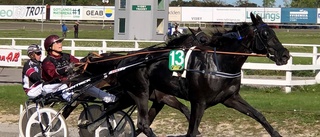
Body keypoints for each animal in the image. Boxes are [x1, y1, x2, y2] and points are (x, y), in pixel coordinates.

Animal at [114, 12, 292, 136]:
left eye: (273, 33)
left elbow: (258, 115)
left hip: (150, 96)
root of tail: (124, 60)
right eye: (265, 34)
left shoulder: (230, 98)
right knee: (142, 123)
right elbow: (192, 131)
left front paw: (276, 133)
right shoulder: (199, 102)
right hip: (140, 92)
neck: (220, 64)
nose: (285, 55)